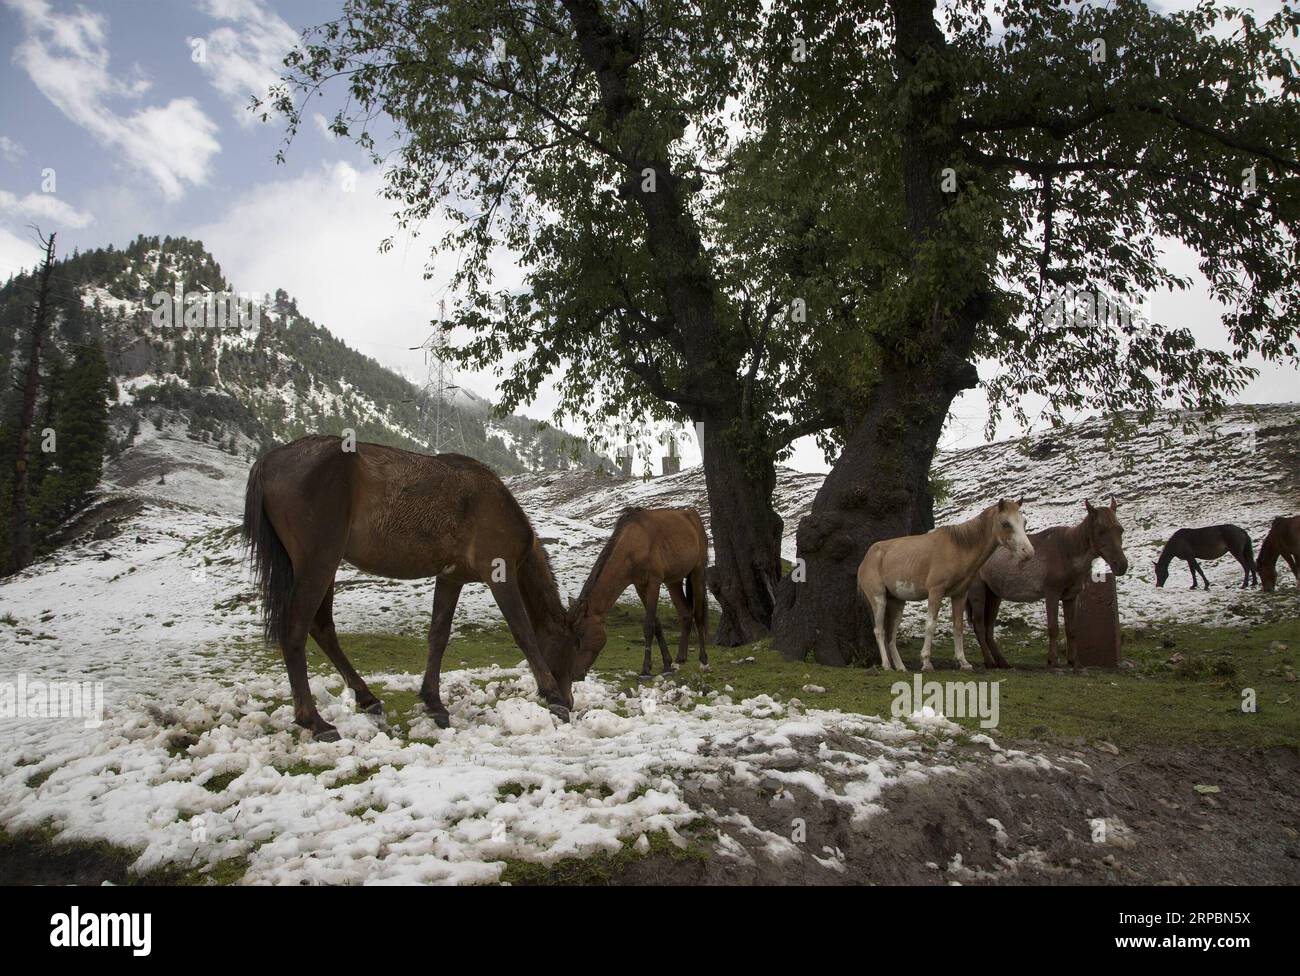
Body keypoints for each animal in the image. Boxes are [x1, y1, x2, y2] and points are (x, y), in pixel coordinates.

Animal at [244, 434, 569, 738]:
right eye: (573, 646)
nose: (570, 697)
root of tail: (267, 462)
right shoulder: (499, 573)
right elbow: (523, 632)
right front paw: (552, 695)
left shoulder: (451, 578)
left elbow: (438, 636)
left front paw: (434, 703)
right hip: (319, 562)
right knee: (296, 629)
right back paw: (315, 721)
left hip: (324, 566)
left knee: (322, 628)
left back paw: (366, 698)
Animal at [566, 506, 712, 680]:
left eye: (581, 634)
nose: (574, 674)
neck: (633, 544)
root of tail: (693, 514)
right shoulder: (640, 586)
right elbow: (656, 624)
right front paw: (667, 664)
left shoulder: (654, 583)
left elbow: (648, 625)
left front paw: (646, 669)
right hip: (673, 581)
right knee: (685, 614)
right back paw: (680, 659)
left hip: (697, 572)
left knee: (698, 615)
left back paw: (704, 661)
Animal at [857, 504, 1029, 670]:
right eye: (1006, 523)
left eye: (1024, 522)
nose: (1028, 551)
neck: (958, 548)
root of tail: (865, 560)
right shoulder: (936, 592)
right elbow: (931, 625)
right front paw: (926, 662)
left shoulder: (960, 595)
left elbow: (958, 627)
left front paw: (963, 662)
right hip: (879, 599)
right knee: (879, 631)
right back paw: (886, 665)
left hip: (897, 602)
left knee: (891, 636)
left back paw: (901, 667)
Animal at [967, 496, 1128, 670]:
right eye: (1101, 531)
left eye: (1120, 530)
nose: (1121, 565)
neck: (1067, 551)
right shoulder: (1052, 594)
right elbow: (1053, 628)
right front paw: (1053, 662)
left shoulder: (1071, 597)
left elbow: (1071, 629)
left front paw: (1074, 662)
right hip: (978, 593)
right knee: (979, 626)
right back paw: (989, 661)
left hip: (994, 595)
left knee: (989, 628)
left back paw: (1001, 661)